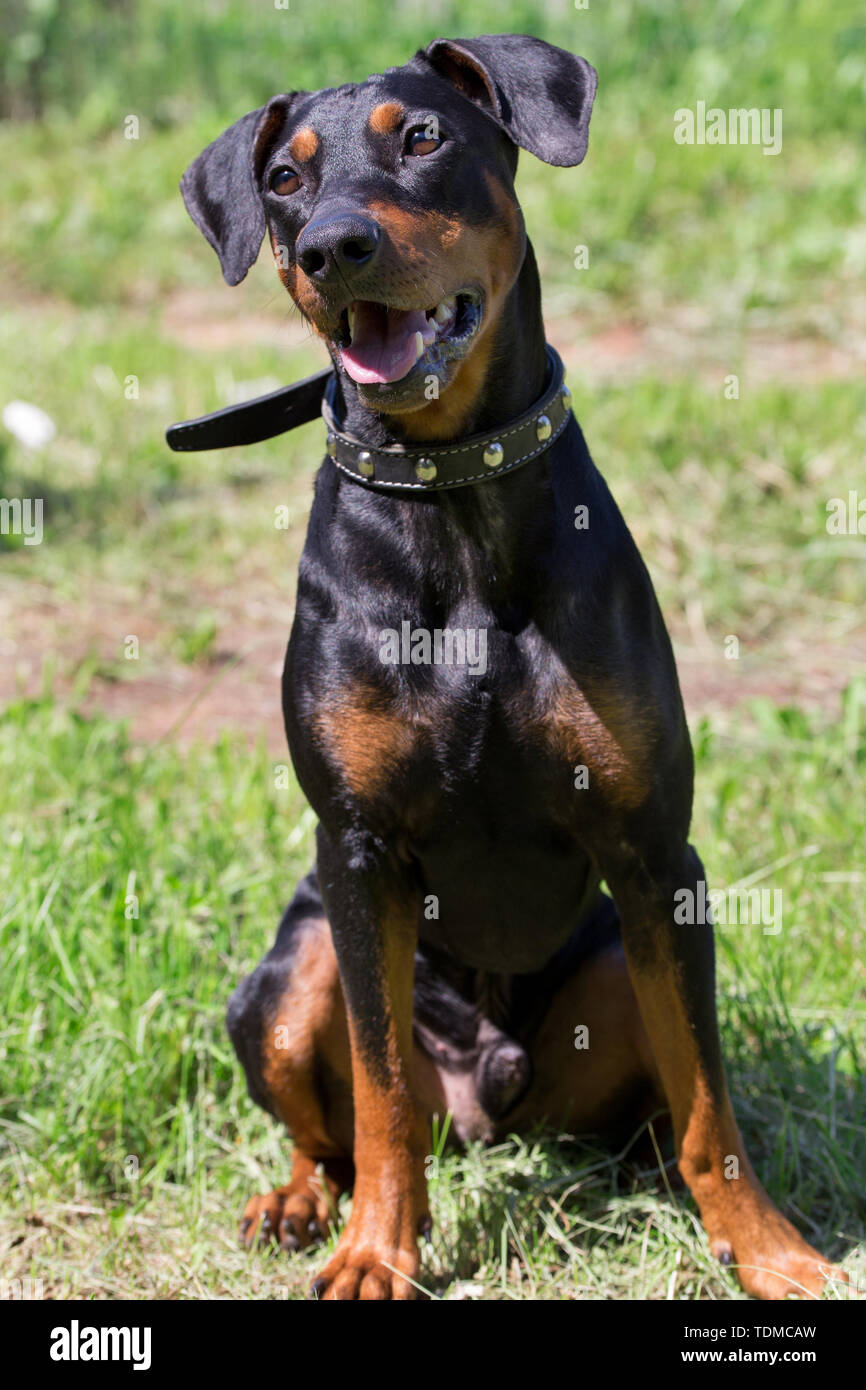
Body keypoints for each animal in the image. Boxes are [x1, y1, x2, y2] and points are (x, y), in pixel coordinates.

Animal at [173, 32, 845, 1295]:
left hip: (628, 954)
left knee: (666, 1109)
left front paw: (770, 1252)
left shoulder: (653, 852)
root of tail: (489, 1112)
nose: (333, 245)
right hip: (285, 975)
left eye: (421, 137)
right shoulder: (357, 852)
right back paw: (299, 1203)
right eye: (282, 179)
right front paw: (375, 1253)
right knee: (331, 1126)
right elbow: (381, 1092)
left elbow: (710, 1104)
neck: (451, 492)